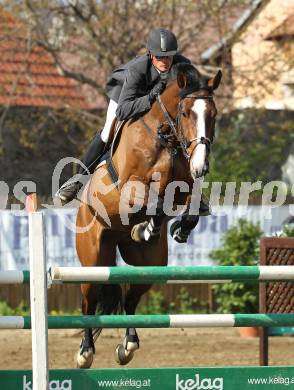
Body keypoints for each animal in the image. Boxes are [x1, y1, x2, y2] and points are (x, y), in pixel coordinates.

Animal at [74, 62, 222, 368]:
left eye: (213, 115)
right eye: (186, 113)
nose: (201, 166)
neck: (165, 137)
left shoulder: (184, 186)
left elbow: (187, 207)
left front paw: (176, 228)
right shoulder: (130, 189)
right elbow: (154, 201)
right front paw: (145, 227)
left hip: (149, 264)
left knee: (131, 298)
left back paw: (128, 344)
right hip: (93, 260)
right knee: (88, 301)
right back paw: (85, 352)